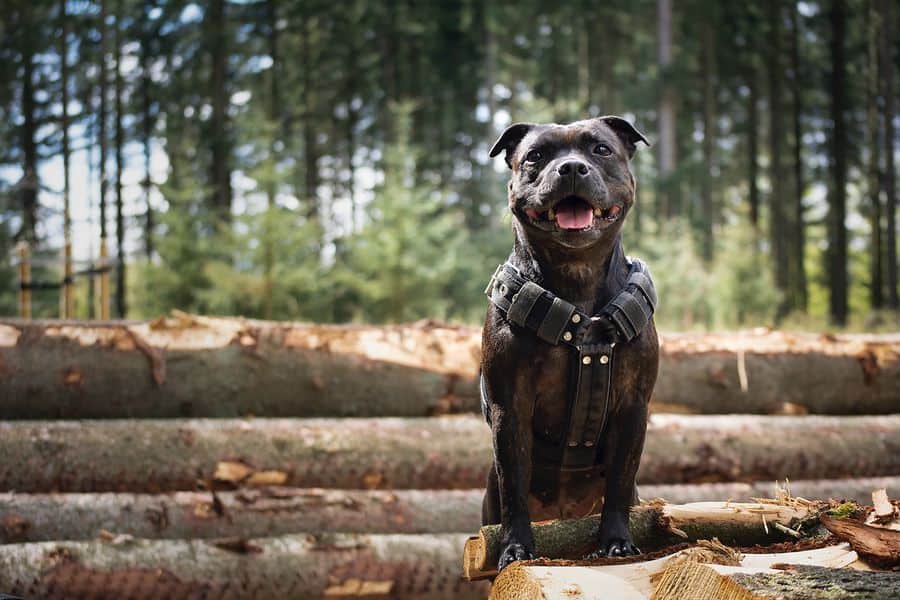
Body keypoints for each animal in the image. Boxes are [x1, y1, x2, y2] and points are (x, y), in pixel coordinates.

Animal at [482, 116, 656, 572]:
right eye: (535, 156)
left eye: (601, 149)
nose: (572, 168)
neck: (577, 275)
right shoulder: (510, 408)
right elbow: (514, 487)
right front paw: (516, 549)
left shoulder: (633, 407)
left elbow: (619, 480)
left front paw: (617, 541)